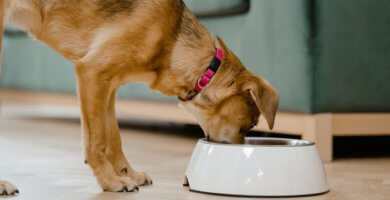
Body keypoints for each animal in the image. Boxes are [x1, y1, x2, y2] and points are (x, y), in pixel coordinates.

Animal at [0, 0, 280, 195]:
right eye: (250, 124)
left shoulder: (108, 87)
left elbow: (114, 138)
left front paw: (128, 174)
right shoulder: (92, 72)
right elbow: (97, 141)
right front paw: (111, 182)